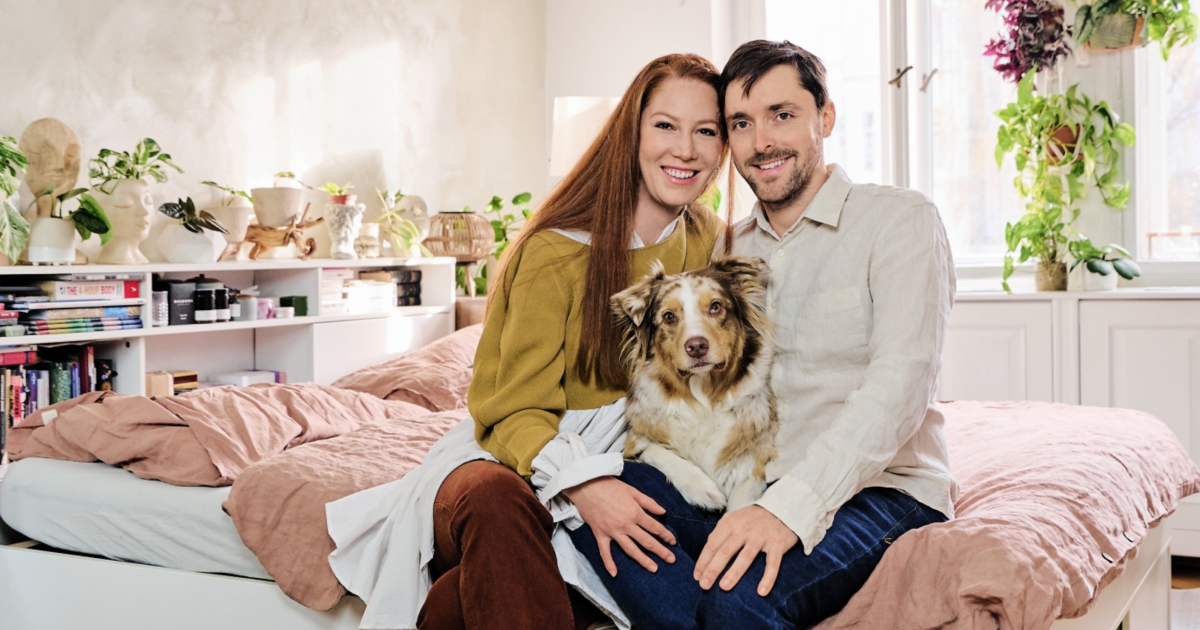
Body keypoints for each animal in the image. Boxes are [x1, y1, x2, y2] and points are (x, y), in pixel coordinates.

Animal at [612, 256, 777, 512]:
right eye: (669, 316)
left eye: (715, 307)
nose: (697, 346)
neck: (703, 396)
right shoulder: (635, 441)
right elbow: (658, 450)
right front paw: (701, 487)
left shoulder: (753, 459)